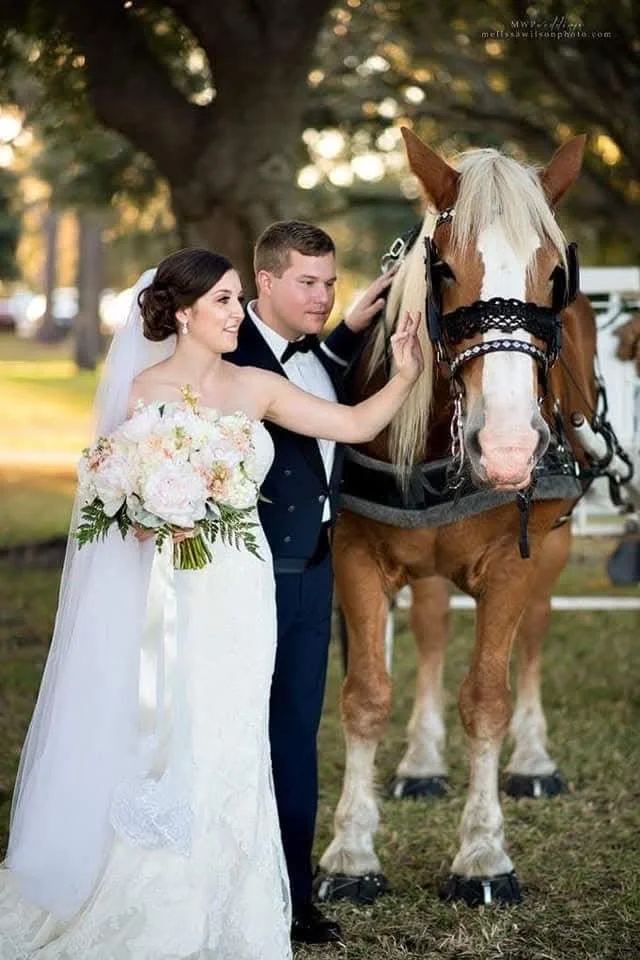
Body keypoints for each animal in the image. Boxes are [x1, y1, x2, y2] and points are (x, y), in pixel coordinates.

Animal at [314, 128, 605, 907]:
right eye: (441, 268)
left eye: (555, 273)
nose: (506, 448)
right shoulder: (355, 556)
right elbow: (367, 695)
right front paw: (350, 854)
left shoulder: (514, 563)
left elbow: (487, 699)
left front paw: (483, 854)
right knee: (433, 626)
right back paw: (420, 762)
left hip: (551, 551)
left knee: (532, 638)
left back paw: (532, 760)